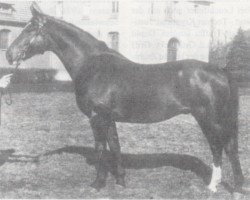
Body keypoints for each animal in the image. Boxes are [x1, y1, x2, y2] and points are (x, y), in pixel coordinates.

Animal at [5, 2, 244, 194]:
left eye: (30, 29)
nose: (9, 54)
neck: (92, 64)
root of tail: (221, 72)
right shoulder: (109, 118)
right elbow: (115, 146)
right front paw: (120, 180)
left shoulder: (97, 117)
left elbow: (100, 148)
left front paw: (97, 183)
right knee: (226, 147)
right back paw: (229, 185)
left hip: (209, 118)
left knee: (221, 147)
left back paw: (219, 186)